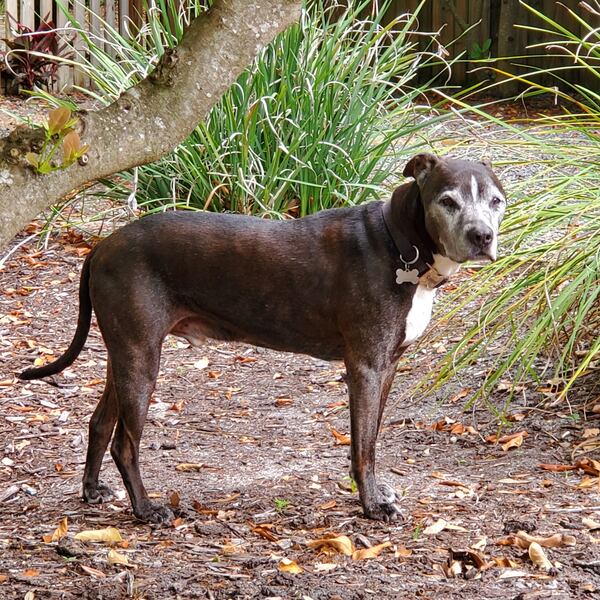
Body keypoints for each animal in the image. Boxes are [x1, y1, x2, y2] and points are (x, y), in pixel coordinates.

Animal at [18, 154, 506, 520]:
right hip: (141, 359)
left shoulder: (387, 367)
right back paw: (146, 509)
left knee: (100, 423)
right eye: (447, 201)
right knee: (125, 442)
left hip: (124, 353)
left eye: (497, 201)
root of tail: (102, 246)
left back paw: (93, 490)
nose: (482, 236)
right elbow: (363, 447)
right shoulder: (365, 369)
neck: (399, 243)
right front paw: (371, 506)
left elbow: (371, 440)